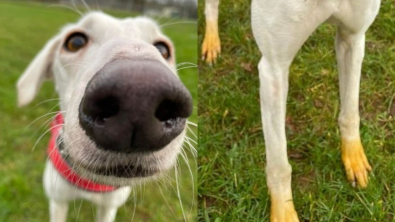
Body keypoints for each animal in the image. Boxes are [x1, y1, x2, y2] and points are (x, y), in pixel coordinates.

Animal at [203, 0, 382, 220]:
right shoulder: (274, 70)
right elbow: (279, 163)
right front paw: (284, 212)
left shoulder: (353, 38)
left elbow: (350, 112)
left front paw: (353, 158)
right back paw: (211, 40)